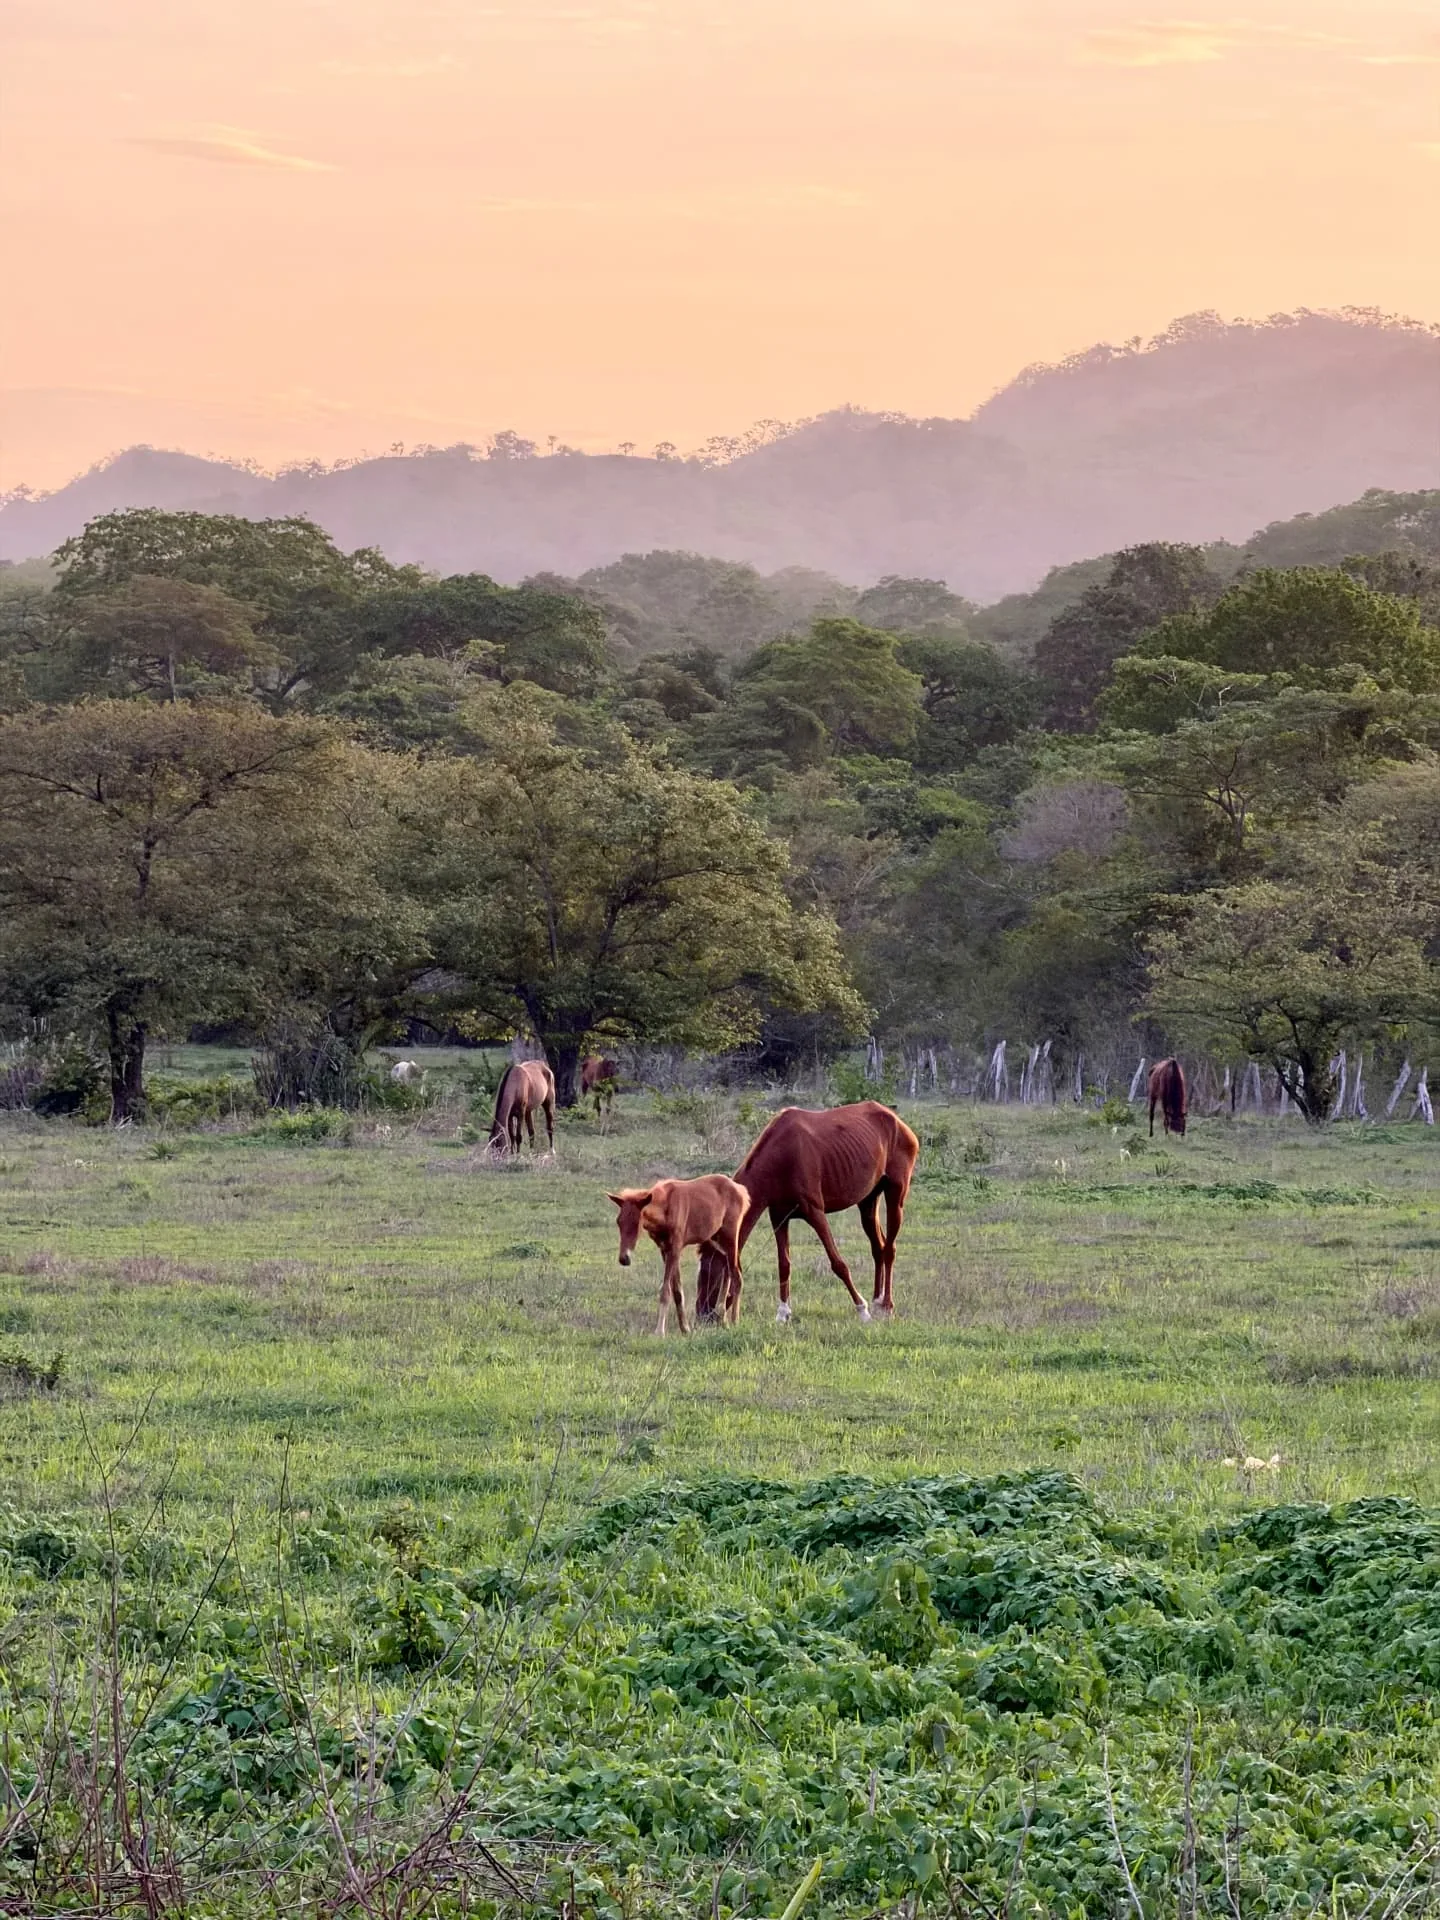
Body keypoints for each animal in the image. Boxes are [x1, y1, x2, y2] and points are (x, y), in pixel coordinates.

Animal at [608, 1175, 748, 1335]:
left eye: (637, 1222)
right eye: (619, 1222)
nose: (624, 1258)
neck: (666, 1208)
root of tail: (741, 1190)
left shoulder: (675, 1248)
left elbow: (665, 1290)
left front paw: (659, 1332)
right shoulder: (665, 1250)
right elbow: (677, 1291)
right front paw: (685, 1329)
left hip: (730, 1237)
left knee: (737, 1276)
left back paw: (735, 1321)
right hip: (717, 1240)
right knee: (728, 1270)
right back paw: (723, 1320)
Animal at [697, 1101, 919, 1325]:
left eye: (708, 1272)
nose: (702, 1316)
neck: (781, 1157)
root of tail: (897, 1121)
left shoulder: (815, 1213)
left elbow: (838, 1264)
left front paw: (861, 1310)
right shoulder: (779, 1217)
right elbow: (784, 1265)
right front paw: (783, 1313)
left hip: (895, 1194)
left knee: (889, 1249)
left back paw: (886, 1306)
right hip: (868, 1201)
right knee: (878, 1247)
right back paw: (876, 1301)